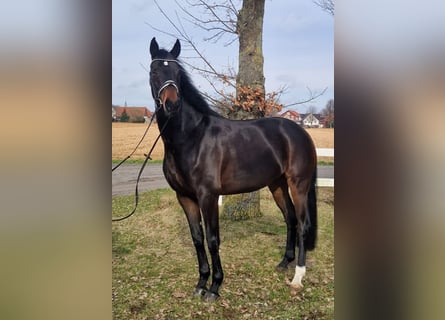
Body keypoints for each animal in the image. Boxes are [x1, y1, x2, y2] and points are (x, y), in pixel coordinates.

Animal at [151, 37, 318, 300]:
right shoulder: (185, 197)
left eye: (178, 73)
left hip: (298, 184)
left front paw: (214, 287)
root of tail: (301, 132)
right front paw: (201, 283)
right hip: (277, 184)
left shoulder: (208, 196)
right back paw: (284, 263)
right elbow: (197, 238)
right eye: (154, 71)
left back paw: (298, 277)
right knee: (290, 219)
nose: (172, 104)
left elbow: (212, 239)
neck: (190, 137)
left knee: (303, 224)